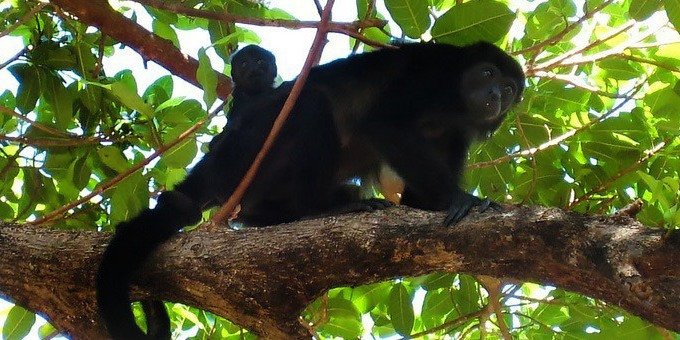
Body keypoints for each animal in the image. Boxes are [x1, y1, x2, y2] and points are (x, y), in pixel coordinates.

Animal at [95, 41, 524, 338]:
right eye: (487, 75)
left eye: (509, 90)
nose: (496, 96)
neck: (454, 101)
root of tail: (219, 160)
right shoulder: (429, 77)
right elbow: (384, 122)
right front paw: (462, 200)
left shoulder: (458, 132)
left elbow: (421, 196)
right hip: (253, 153)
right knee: (312, 104)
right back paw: (313, 210)